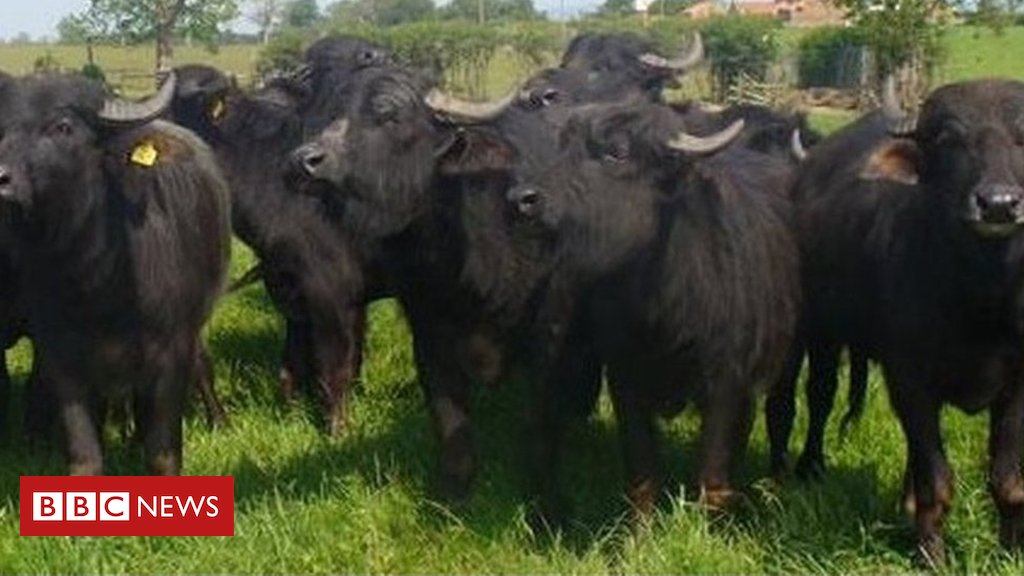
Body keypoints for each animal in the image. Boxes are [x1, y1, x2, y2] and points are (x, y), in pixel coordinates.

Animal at [0, 73, 230, 475]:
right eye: (0, 126)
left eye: (63, 126)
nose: (1, 178)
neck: (98, 288)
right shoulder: (62, 358)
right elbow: (84, 455)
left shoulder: (169, 354)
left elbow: (163, 454)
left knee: (201, 367)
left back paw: (217, 421)